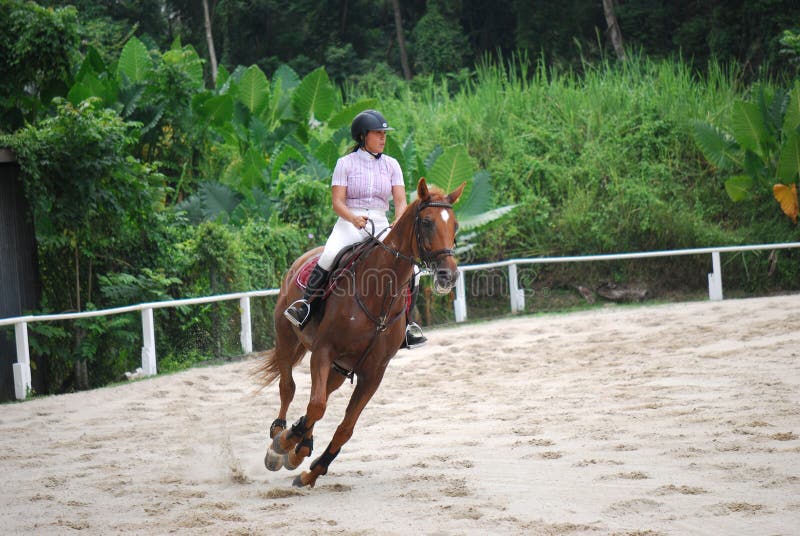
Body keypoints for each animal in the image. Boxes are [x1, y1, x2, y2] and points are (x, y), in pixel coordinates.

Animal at [260, 178, 466, 488]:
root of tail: (307, 255)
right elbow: (316, 405)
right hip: (287, 338)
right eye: (427, 222)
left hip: (340, 368)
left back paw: (302, 447)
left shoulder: (373, 372)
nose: (448, 276)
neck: (378, 292)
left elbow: (344, 426)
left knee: (321, 394)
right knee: (289, 387)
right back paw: (279, 439)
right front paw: (286, 444)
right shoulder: (323, 351)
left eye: (455, 225)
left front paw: (311, 471)